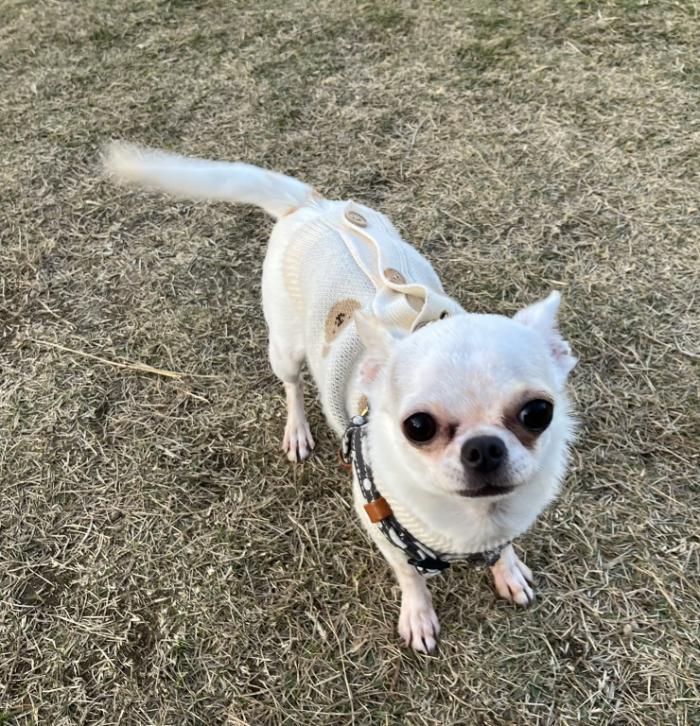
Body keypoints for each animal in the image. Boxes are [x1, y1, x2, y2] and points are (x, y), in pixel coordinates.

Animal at [104, 143, 577, 653]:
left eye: (538, 413)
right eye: (418, 427)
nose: (484, 447)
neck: (475, 518)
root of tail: (314, 205)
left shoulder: (508, 522)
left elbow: (504, 548)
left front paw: (507, 571)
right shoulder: (383, 528)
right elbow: (411, 576)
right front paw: (419, 615)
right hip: (285, 347)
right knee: (292, 385)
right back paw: (297, 430)